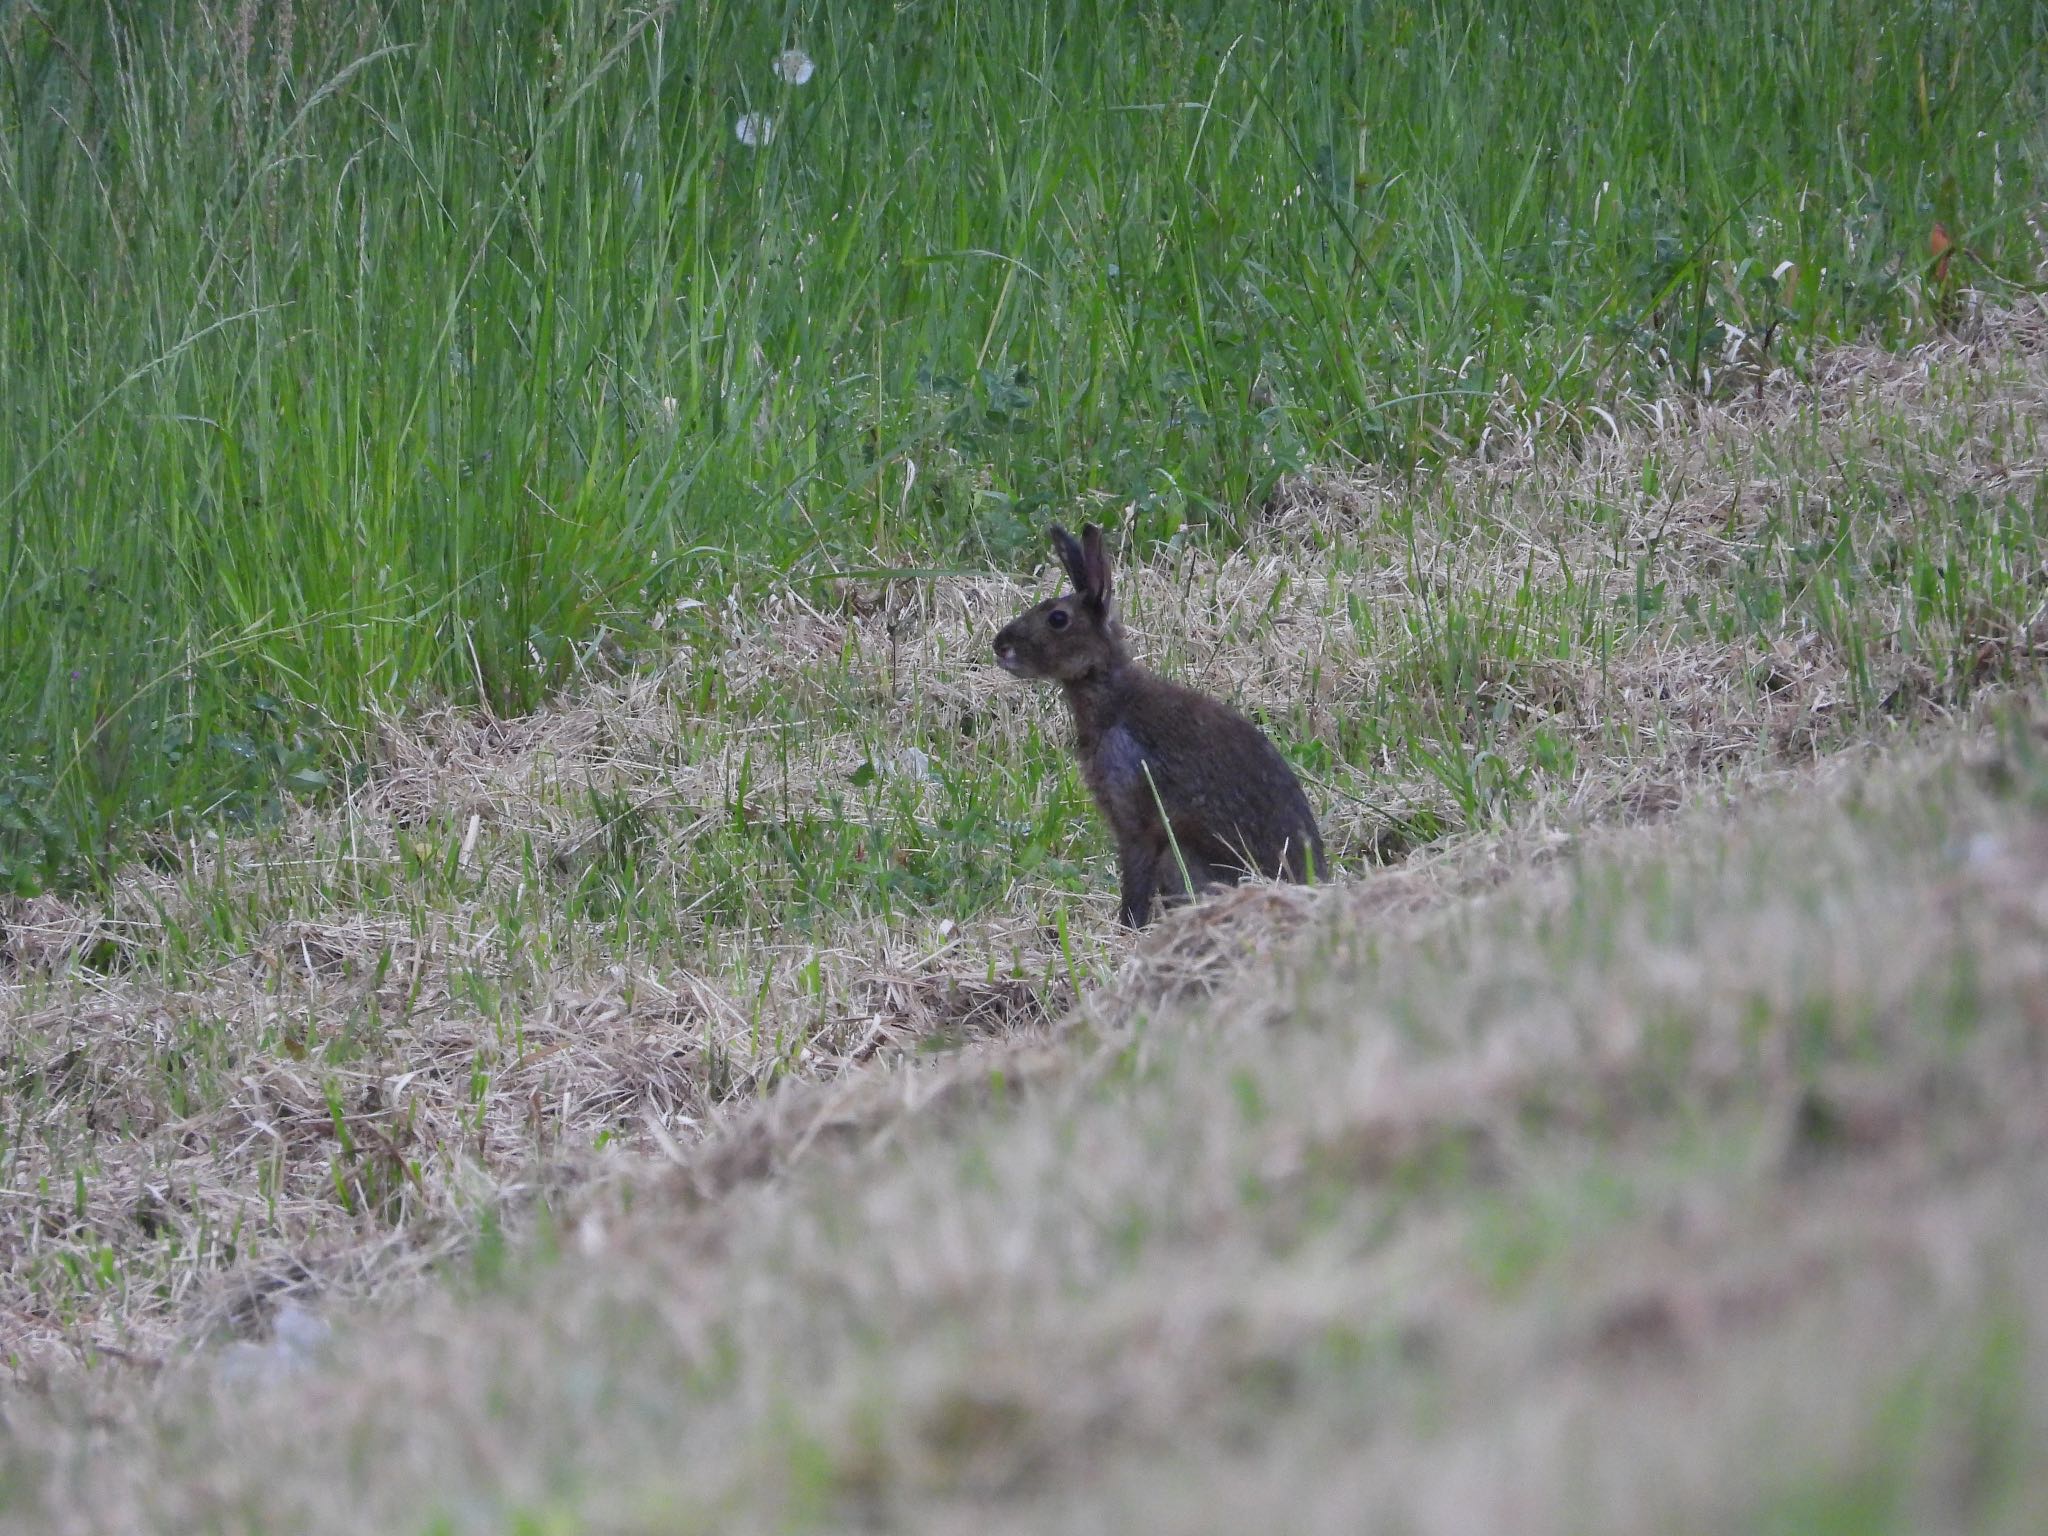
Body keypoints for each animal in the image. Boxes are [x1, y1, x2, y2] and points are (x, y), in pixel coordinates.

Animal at [991, 524, 1327, 933]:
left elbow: (1135, 879)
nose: (1000, 646)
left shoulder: (1135, 818)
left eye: (1057, 619)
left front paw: (1128, 927)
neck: (1112, 694)